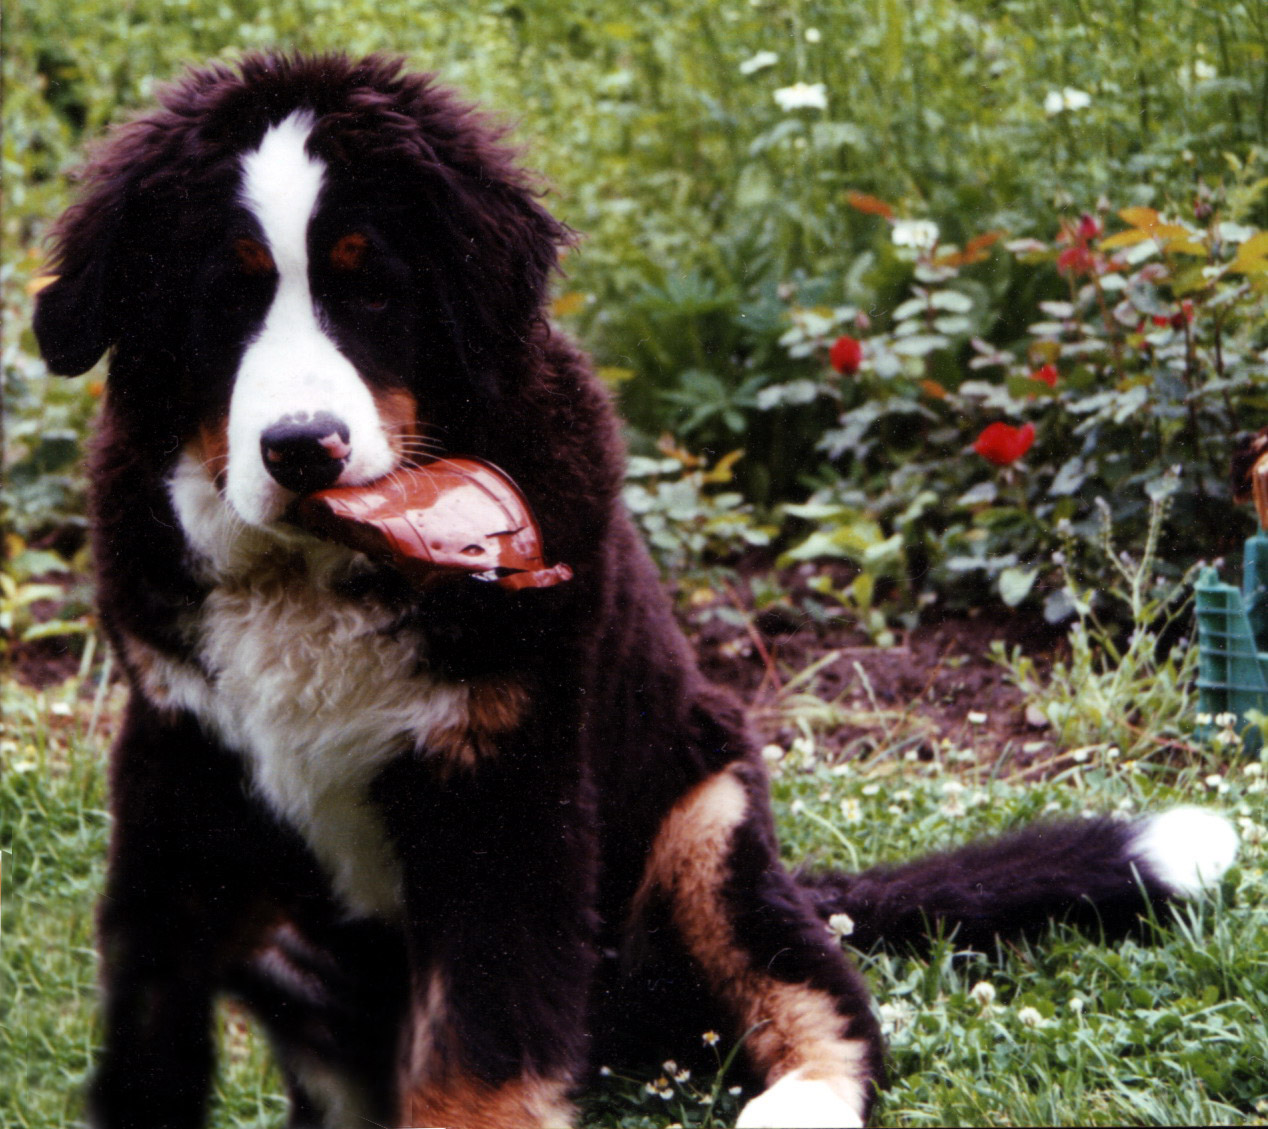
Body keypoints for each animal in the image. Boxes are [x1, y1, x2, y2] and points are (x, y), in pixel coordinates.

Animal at [32, 54, 1237, 1126]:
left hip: (704, 820)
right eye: (225, 296)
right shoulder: (178, 753)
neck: (319, 578)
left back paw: (797, 1102)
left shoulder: (506, 787)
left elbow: (475, 1054)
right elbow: (150, 1026)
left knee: (815, 989)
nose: (300, 448)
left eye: (369, 286)